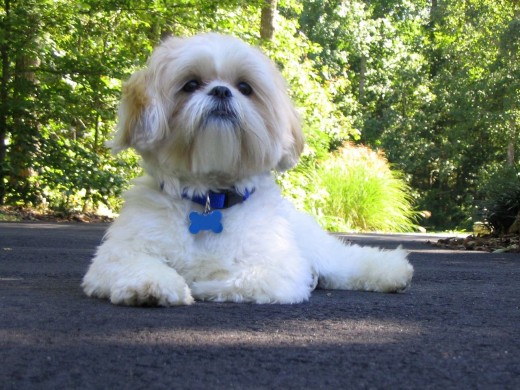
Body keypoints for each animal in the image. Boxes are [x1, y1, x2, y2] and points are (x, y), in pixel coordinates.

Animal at [81, 33, 414, 306]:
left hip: (318, 248)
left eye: (244, 87)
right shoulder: (120, 252)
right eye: (190, 84)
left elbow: (242, 278)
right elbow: (134, 265)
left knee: (345, 261)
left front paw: (201, 283)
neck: (210, 199)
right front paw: (153, 285)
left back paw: (393, 271)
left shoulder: (278, 268)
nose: (221, 91)